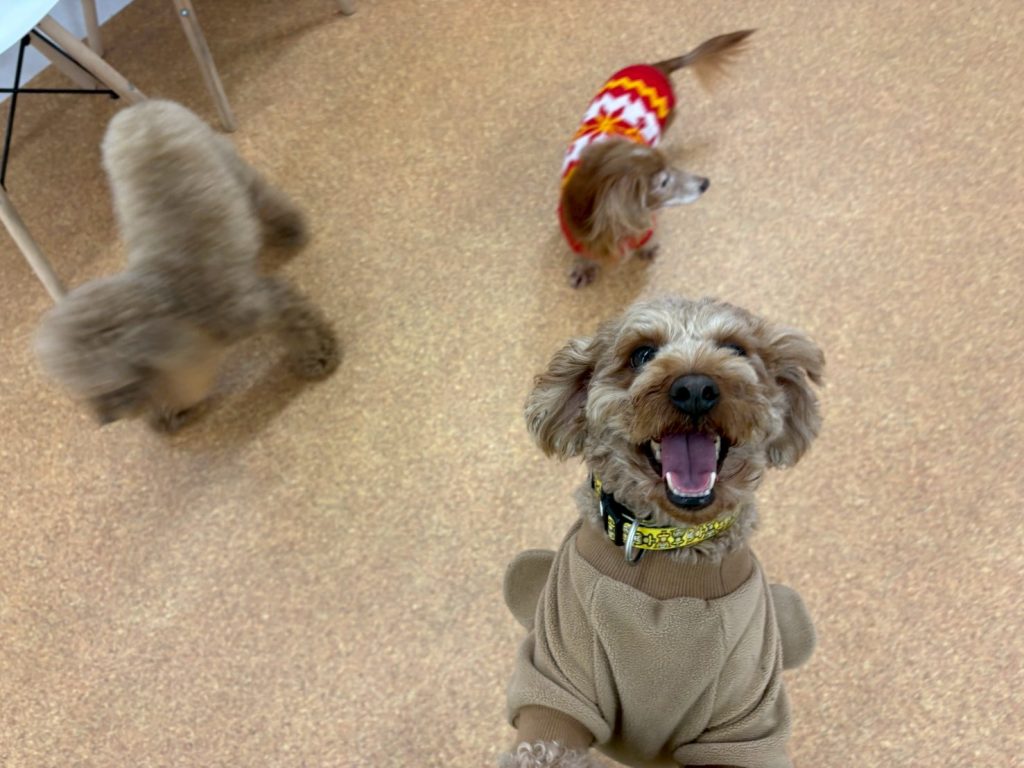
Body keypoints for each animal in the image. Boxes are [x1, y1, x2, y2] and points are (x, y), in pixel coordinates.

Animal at [34, 100, 339, 432]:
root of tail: (140, 107)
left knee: (262, 197)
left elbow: (301, 326)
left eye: (110, 388)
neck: (174, 304)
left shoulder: (261, 308)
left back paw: (290, 229)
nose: (104, 420)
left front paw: (317, 356)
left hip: (228, 162)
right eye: (87, 393)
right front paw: (171, 412)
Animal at [500, 297, 823, 767]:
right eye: (641, 354)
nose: (695, 388)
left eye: (736, 349)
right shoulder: (558, 678)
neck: (667, 549)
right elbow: (546, 745)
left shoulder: (744, 721)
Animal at [558, 31, 754, 288]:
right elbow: (581, 252)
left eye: (670, 168)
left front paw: (647, 249)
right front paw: (583, 267)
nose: (705, 183)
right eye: (663, 182)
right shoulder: (574, 233)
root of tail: (658, 66)